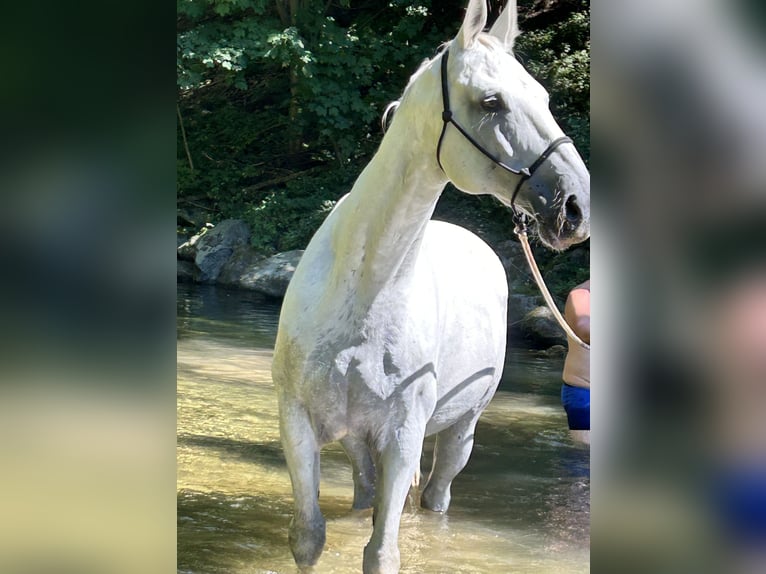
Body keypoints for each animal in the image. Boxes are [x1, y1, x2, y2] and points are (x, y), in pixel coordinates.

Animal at [272, 2, 592, 572]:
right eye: (491, 101)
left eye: (544, 98)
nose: (575, 206)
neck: (361, 294)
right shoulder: (298, 425)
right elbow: (309, 536)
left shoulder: (402, 437)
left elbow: (382, 553)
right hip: (359, 444)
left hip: (458, 434)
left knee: (435, 498)